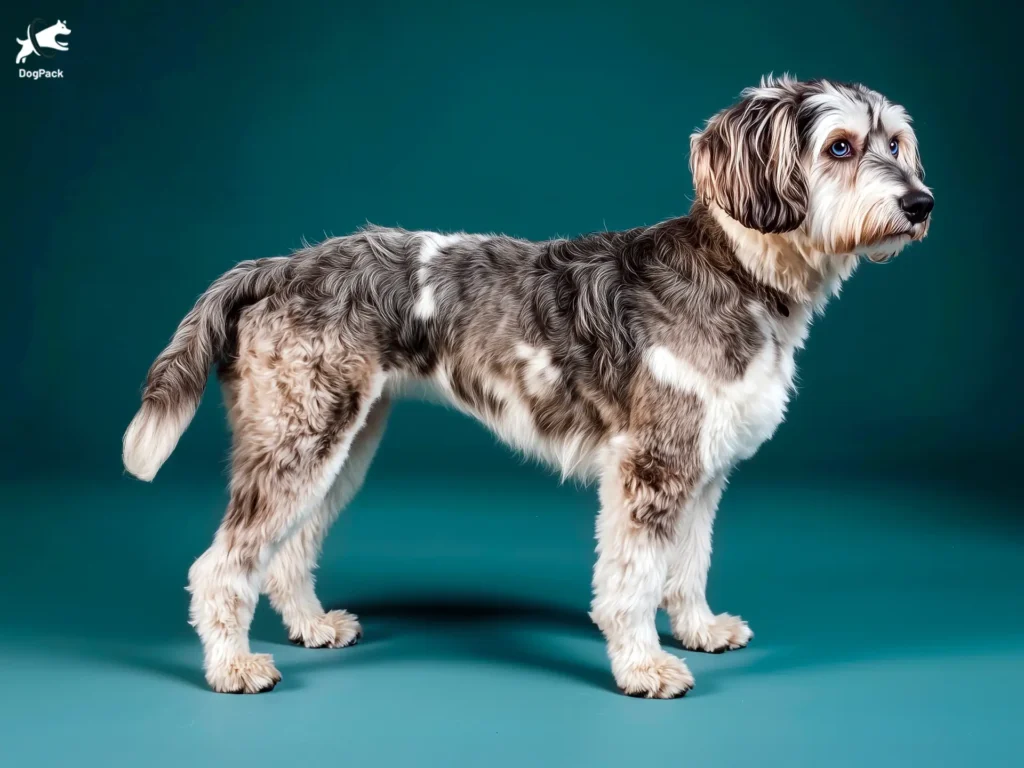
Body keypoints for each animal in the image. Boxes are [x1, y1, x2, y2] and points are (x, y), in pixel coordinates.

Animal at [123, 76, 933, 696]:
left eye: (896, 142)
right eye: (839, 147)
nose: (921, 203)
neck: (736, 270)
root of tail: (277, 266)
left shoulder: (703, 471)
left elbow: (688, 565)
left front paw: (700, 631)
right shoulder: (652, 467)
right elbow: (633, 581)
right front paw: (643, 667)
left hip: (340, 444)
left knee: (288, 552)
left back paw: (312, 626)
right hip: (301, 438)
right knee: (222, 566)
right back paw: (233, 667)